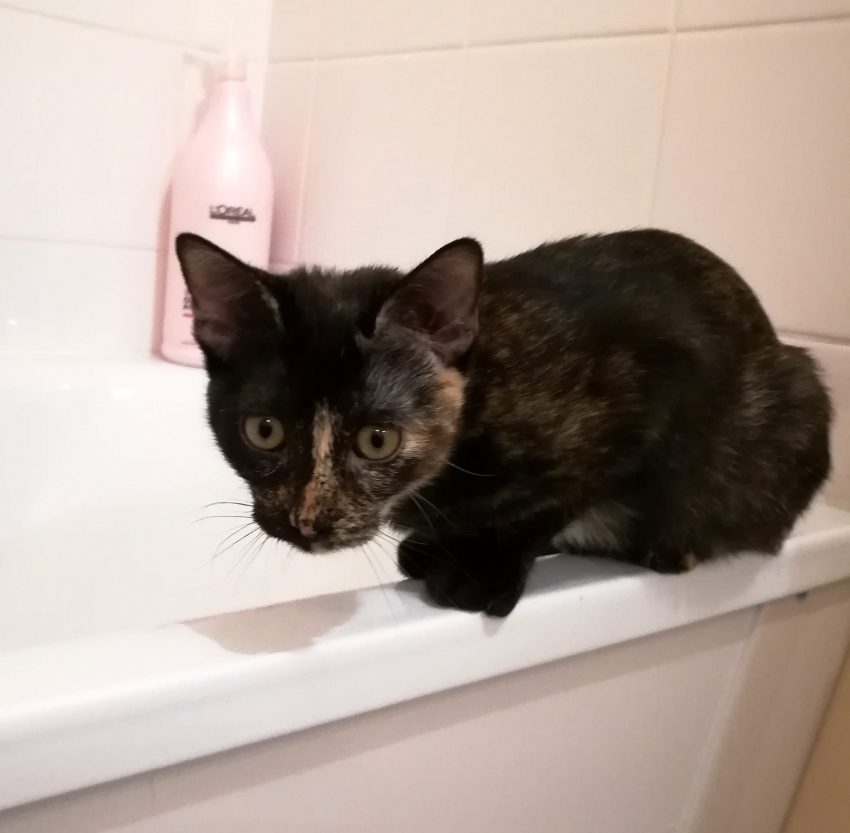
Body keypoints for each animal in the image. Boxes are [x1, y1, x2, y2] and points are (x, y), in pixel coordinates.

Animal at [176, 229, 832, 616]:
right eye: (264, 431)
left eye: (377, 440)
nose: (308, 522)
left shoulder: (656, 389)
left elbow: (556, 502)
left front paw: (481, 569)